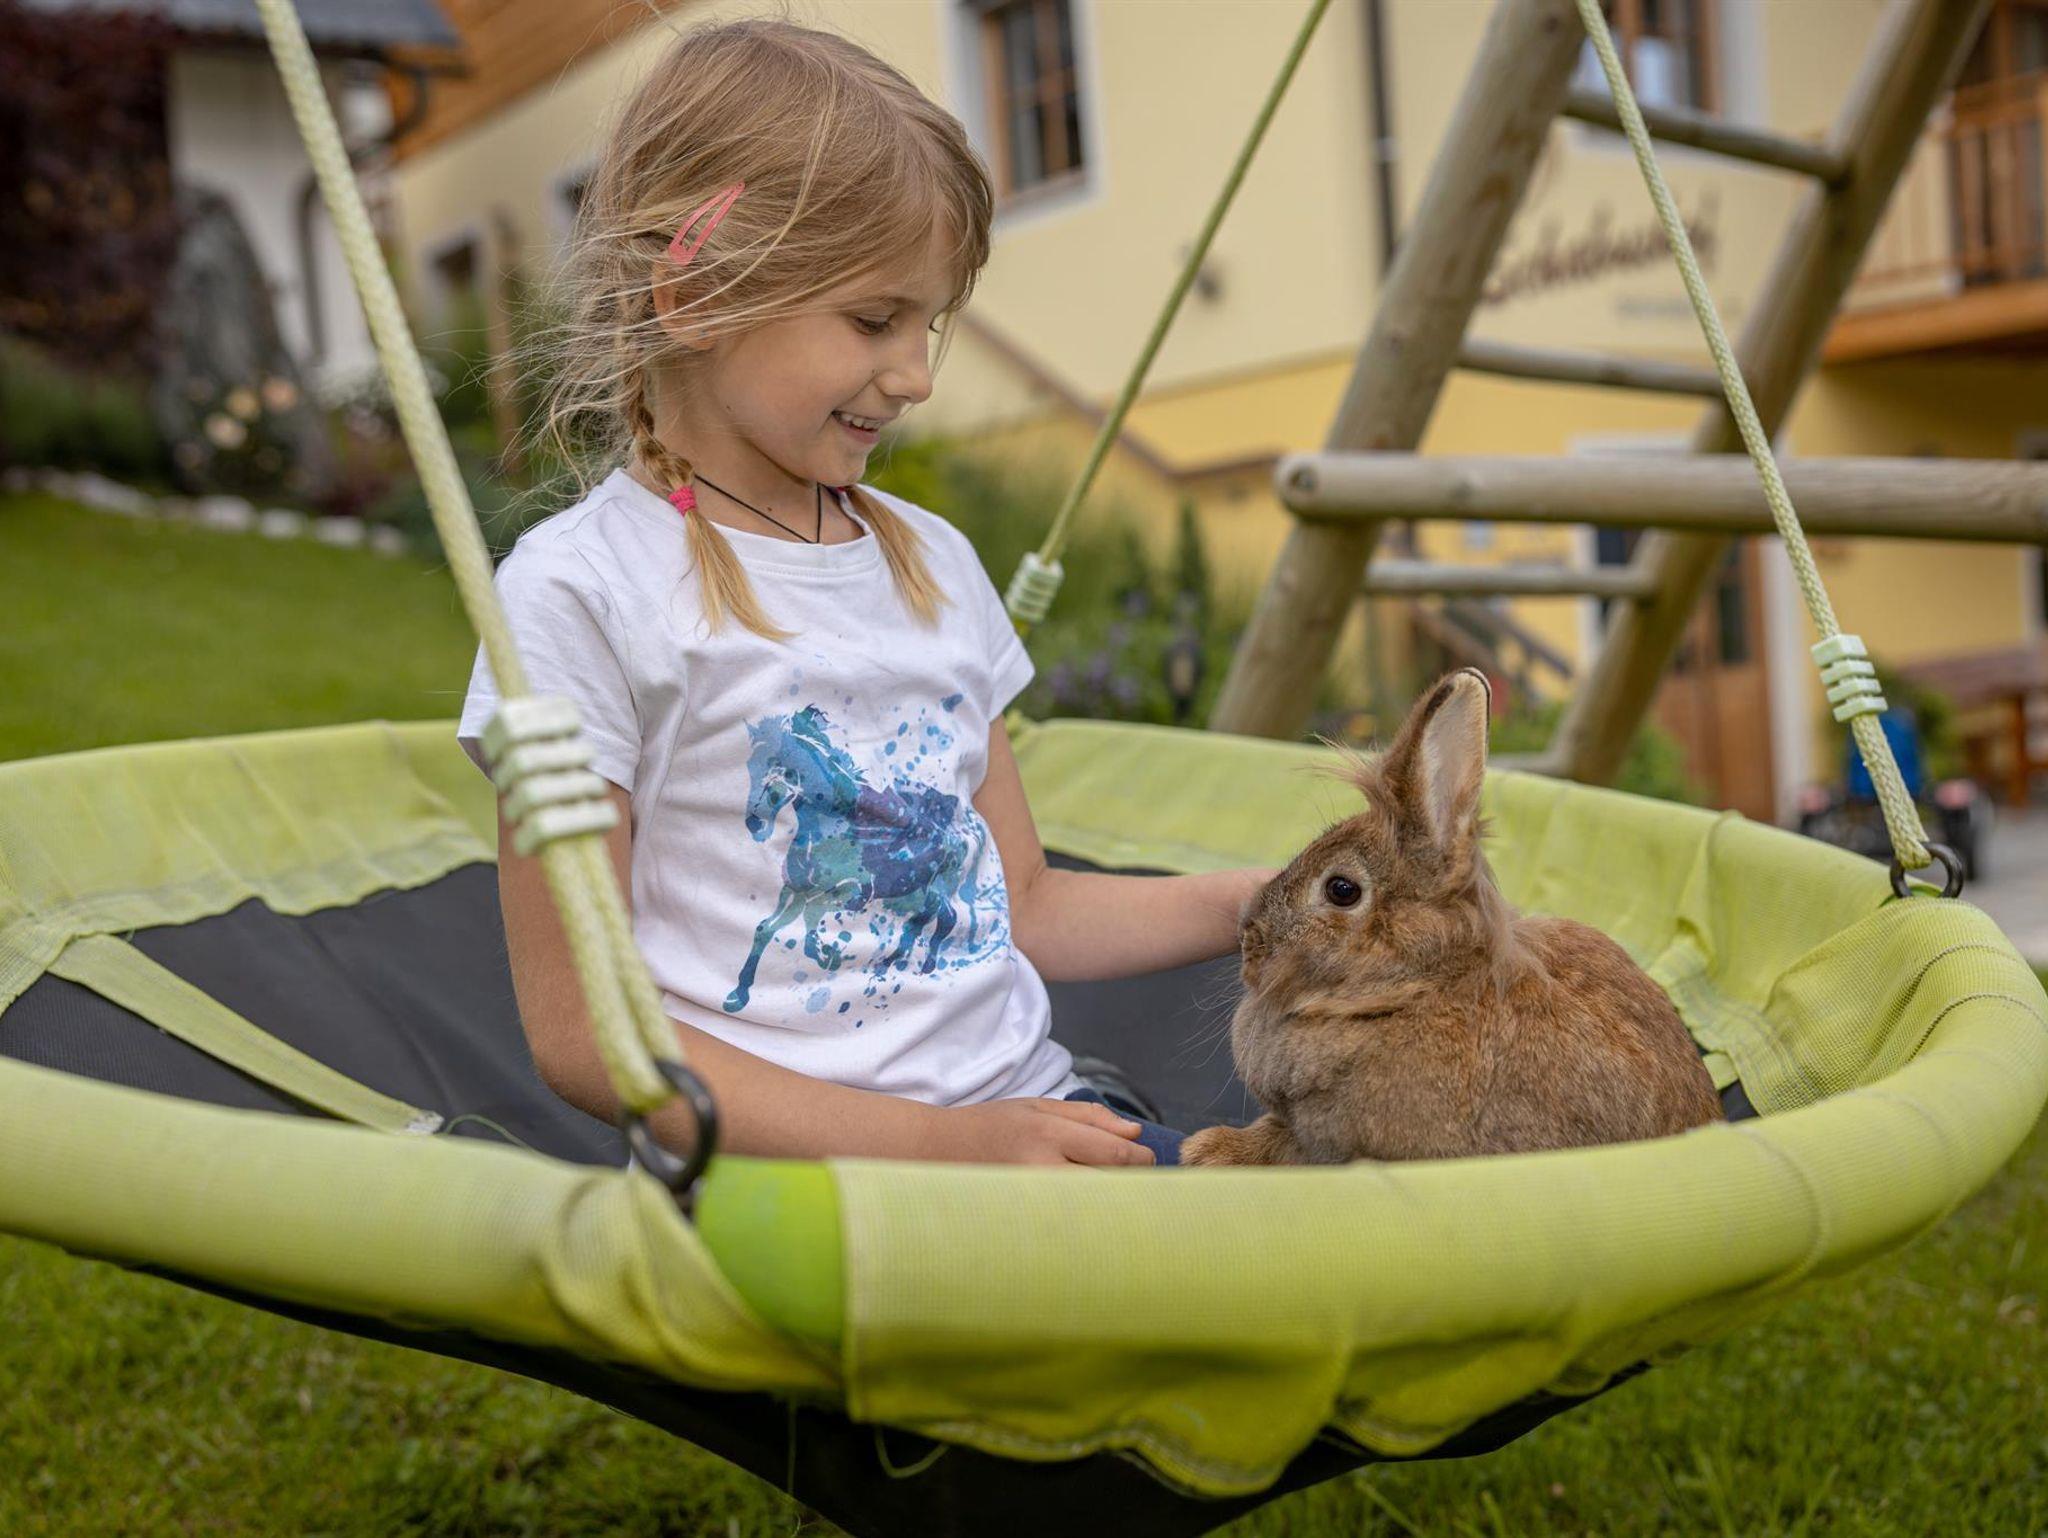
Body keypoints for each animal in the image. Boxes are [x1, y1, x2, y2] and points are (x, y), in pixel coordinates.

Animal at [1180, 668, 1723, 1168]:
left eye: (1341, 890)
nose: (1249, 941)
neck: (1421, 983)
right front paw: (1205, 1148)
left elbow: (1289, 1146)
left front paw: (1206, 1151)